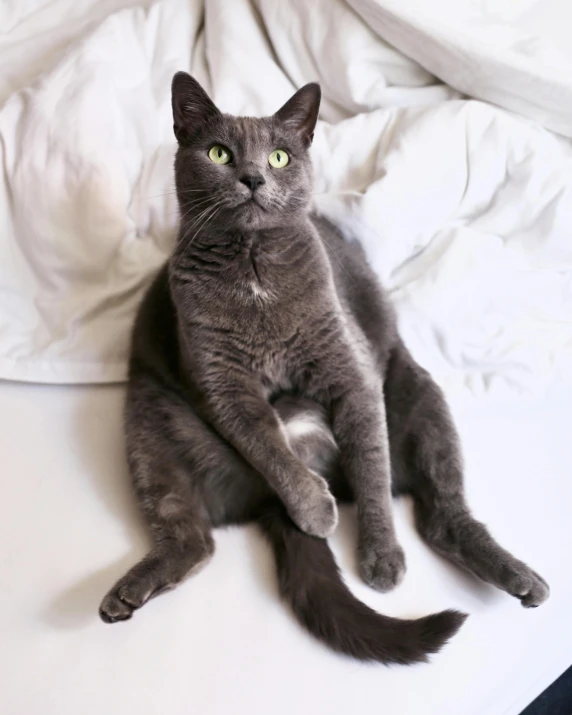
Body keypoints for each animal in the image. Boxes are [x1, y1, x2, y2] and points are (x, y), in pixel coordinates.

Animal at [99, 72, 548, 664]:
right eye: (219, 153)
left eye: (280, 156)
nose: (252, 177)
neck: (253, 267)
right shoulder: (223, 383)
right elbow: (269, 446)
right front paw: (315, 512)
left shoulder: (348, 368)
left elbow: (371, 468)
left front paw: (380, 556)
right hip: (148, 416)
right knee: (193, 539)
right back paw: (126, 595)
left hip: (417, 393)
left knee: (440, 513)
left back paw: (522, 579)